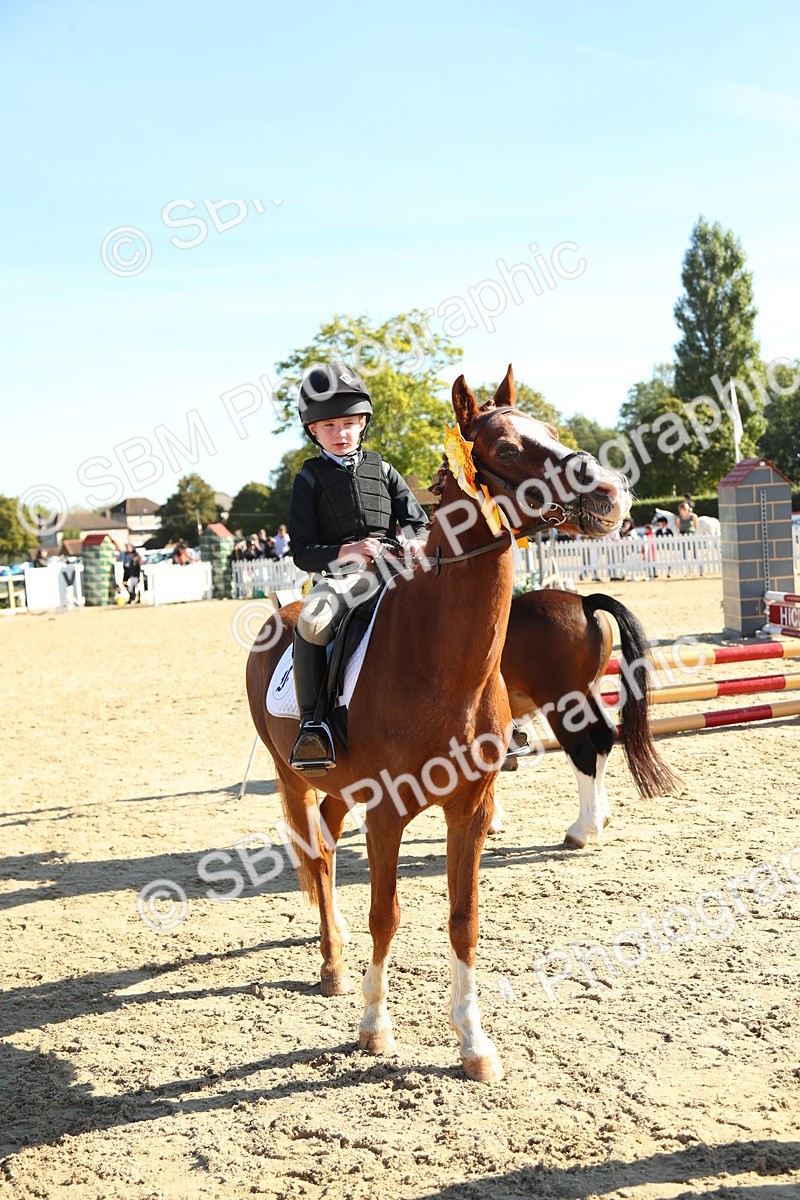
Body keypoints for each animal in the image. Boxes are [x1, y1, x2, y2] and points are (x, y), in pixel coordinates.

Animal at [246, 365, 631, 1082]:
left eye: (552, 429)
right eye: (505, 448)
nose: (611, 493)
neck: (439, 662)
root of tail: (278, 616)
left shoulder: (469, 810)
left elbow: (463, 919)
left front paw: (473, 1043)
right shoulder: (386, 813)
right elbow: (386, 914)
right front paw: (374, 1027)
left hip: (339, 789)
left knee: (328, 854)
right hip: (294, 779)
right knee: (317, 856)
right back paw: (332, 965)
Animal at [495, 589, 679, 847]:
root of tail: (584, 602)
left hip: (559, 703)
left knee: (582, 751)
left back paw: (582, 829)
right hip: (587, 692)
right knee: (605, 737)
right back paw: (601, 817)